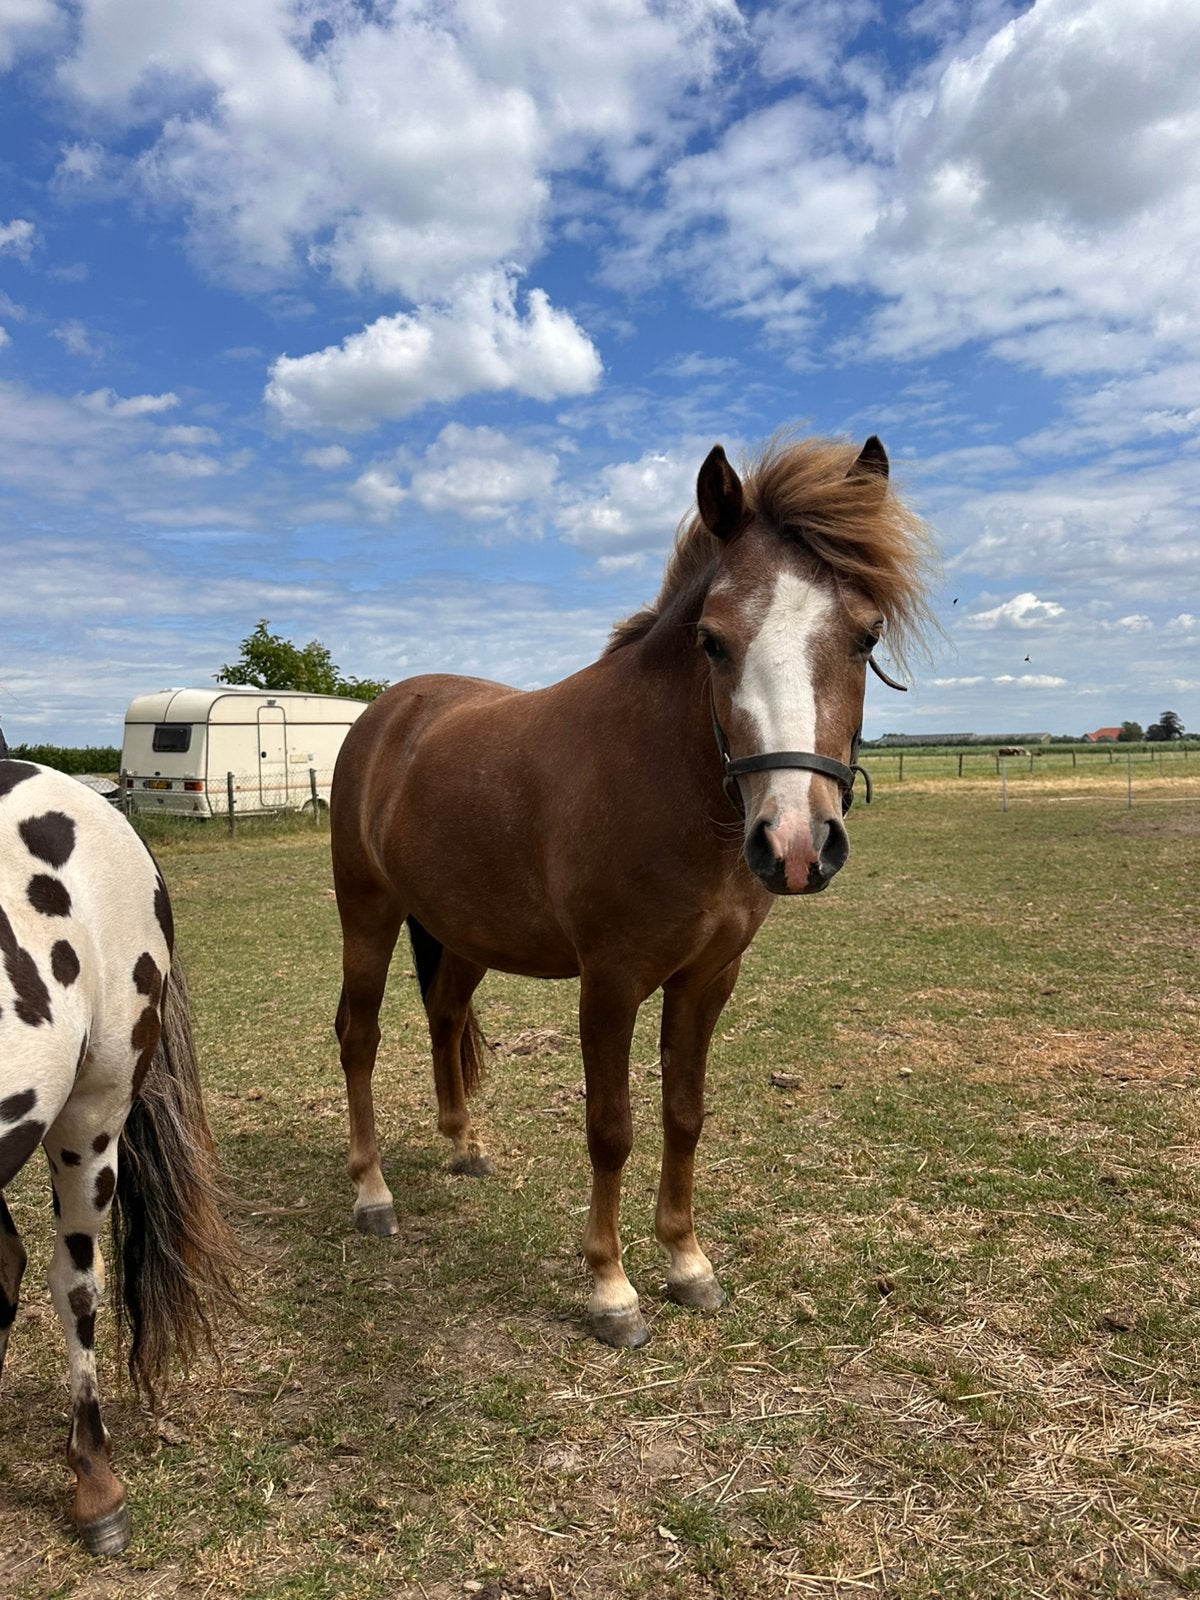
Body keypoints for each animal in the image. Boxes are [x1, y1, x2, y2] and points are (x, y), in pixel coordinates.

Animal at [330, 434, 934, 1348]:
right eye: (712, 641)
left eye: (865, 638)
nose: (796, 845)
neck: (661, 779)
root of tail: (387, 712)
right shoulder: (610, 983)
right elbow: (610, 1129)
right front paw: (611, 1291)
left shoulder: (708, 980)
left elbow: (684, 1112)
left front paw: (687, 1264)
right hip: (366, 915)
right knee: (359, 1037)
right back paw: (373, 1195)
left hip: (464, 934)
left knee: (443, 1018)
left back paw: (464, 1146)